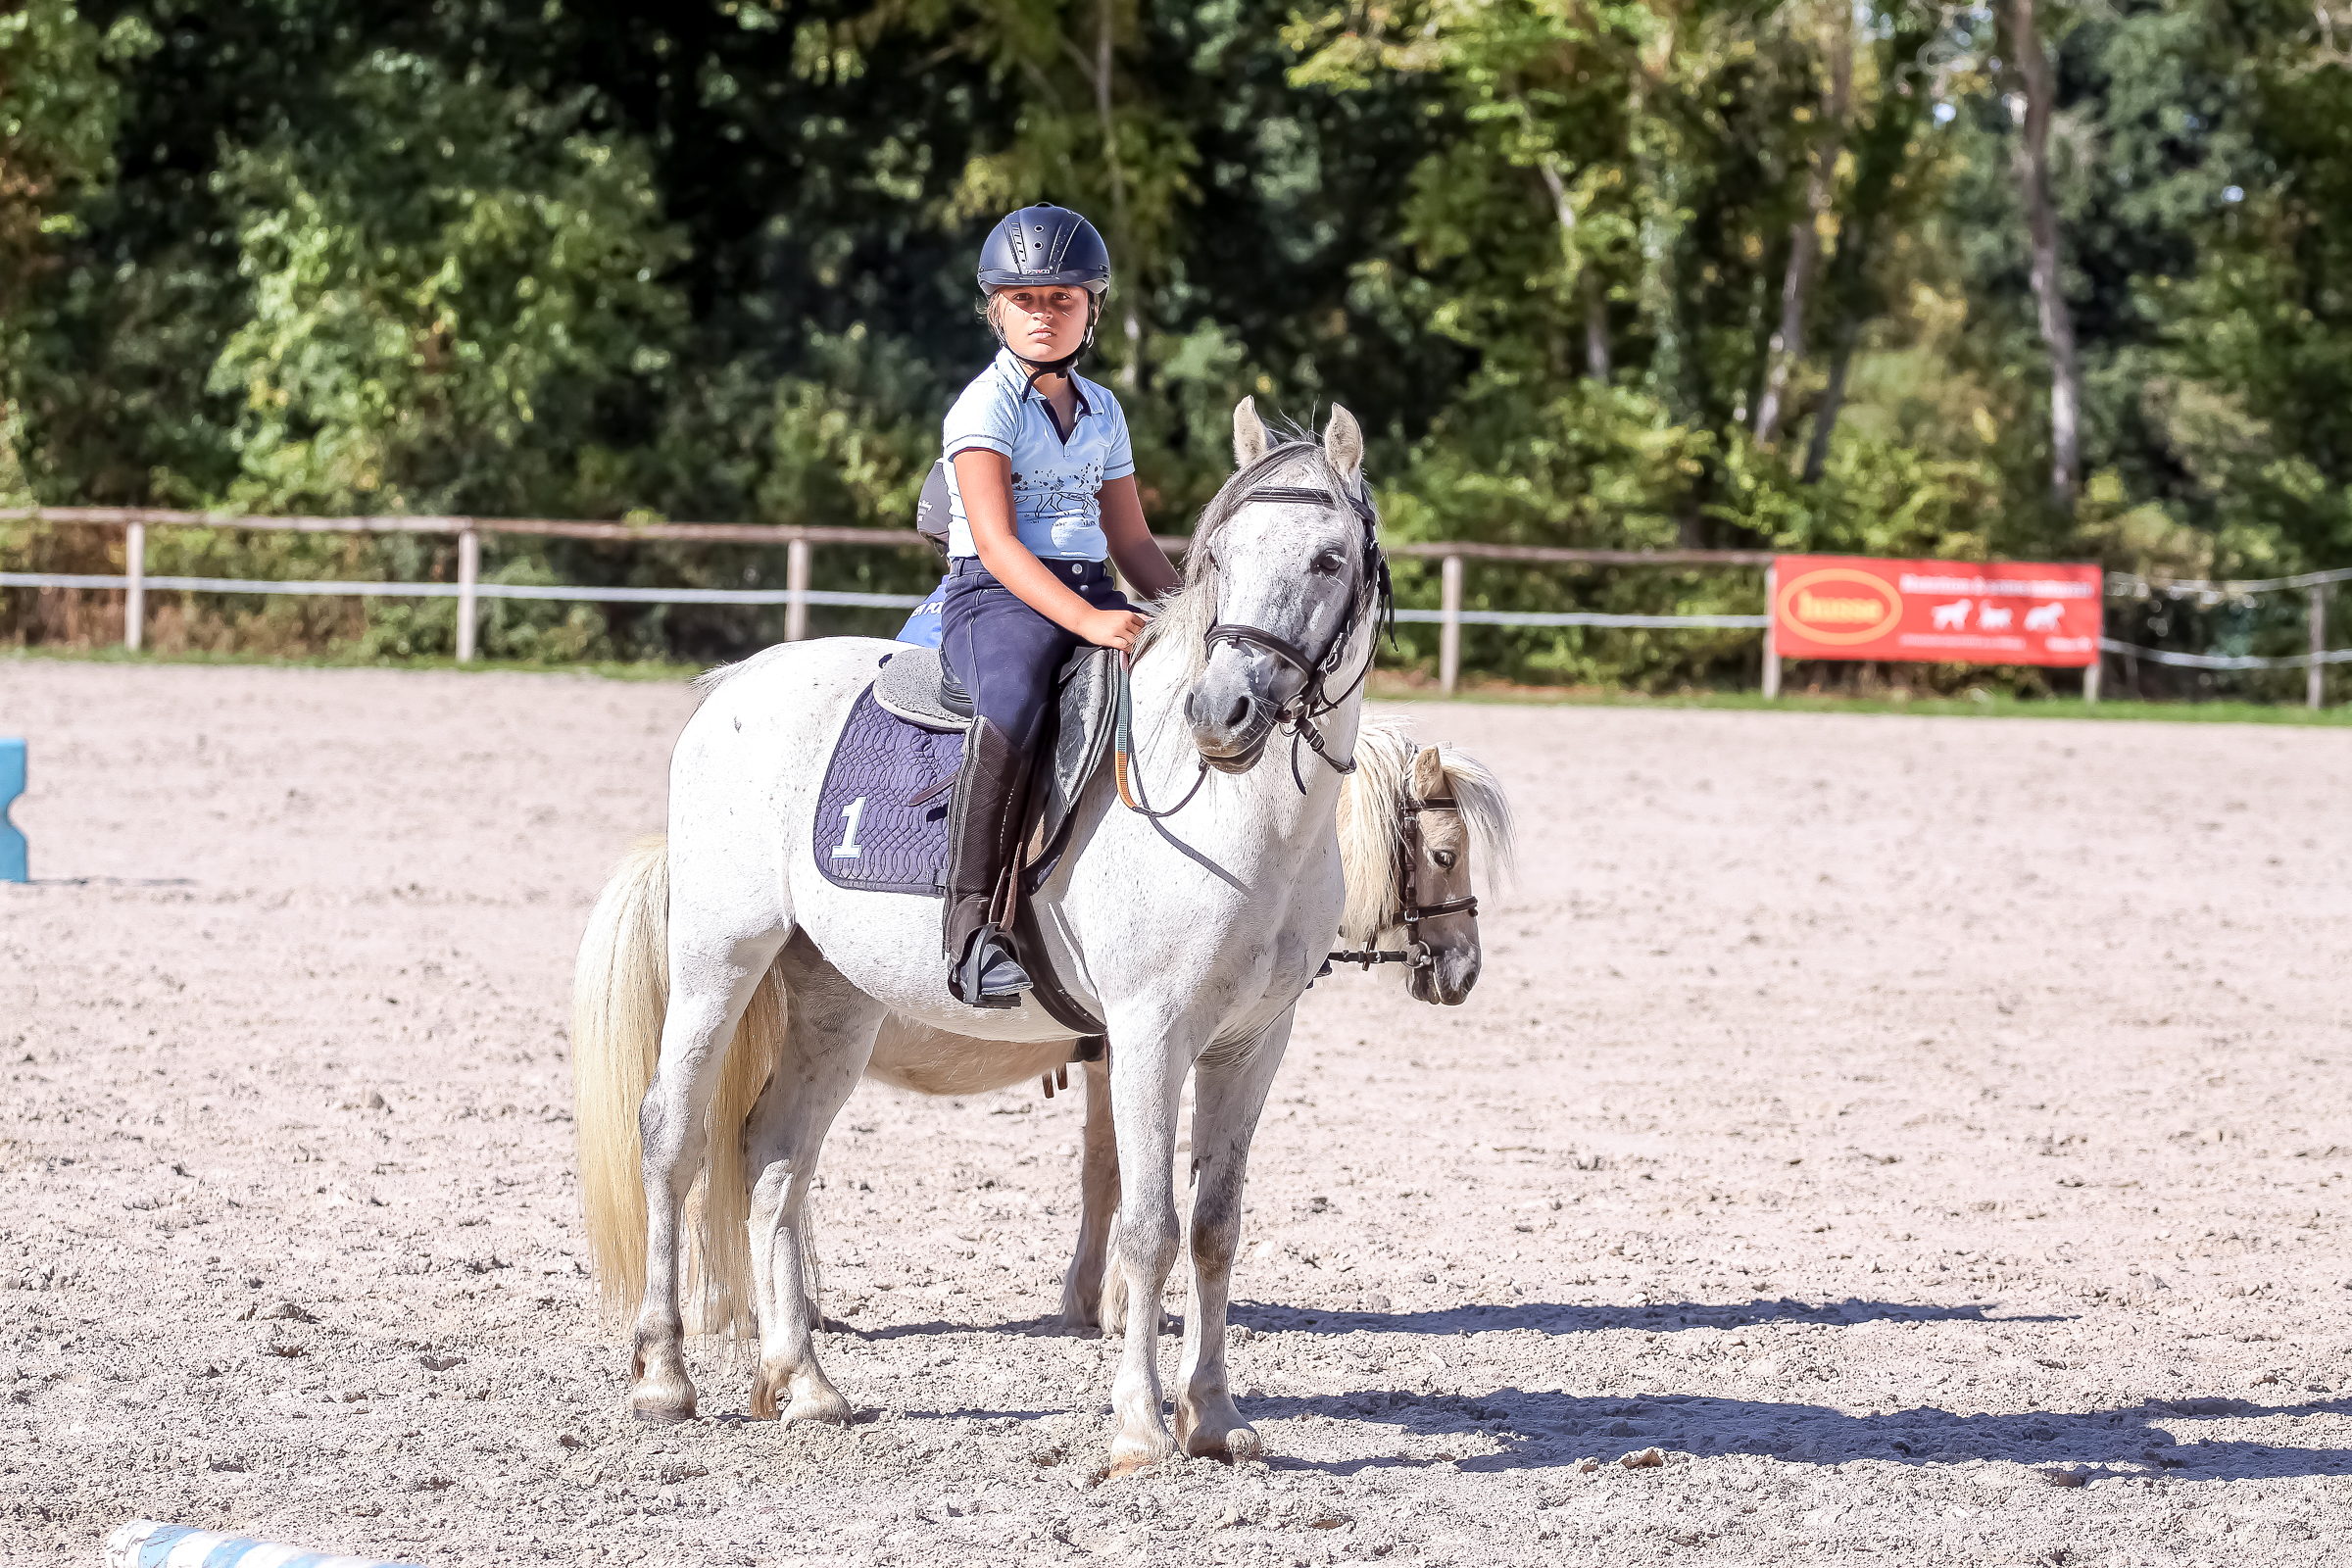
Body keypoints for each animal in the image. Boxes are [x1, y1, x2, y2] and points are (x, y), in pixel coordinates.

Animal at [578, 402, 1430, 1476]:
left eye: (1327, 558)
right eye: (1221, 557)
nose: (1220, 713)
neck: (1242, 821)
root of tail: (735, 683)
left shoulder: (1251, 1043)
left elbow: (1214, 1228)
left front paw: (1216, 1419)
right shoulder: (1148, 1036)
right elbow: (1148, 1228)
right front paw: (1140, 1426)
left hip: (834, 1004)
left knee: (774, 1160)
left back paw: (804, 1384)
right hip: (717, 963)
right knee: (672, 1138)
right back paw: (663, 1375)